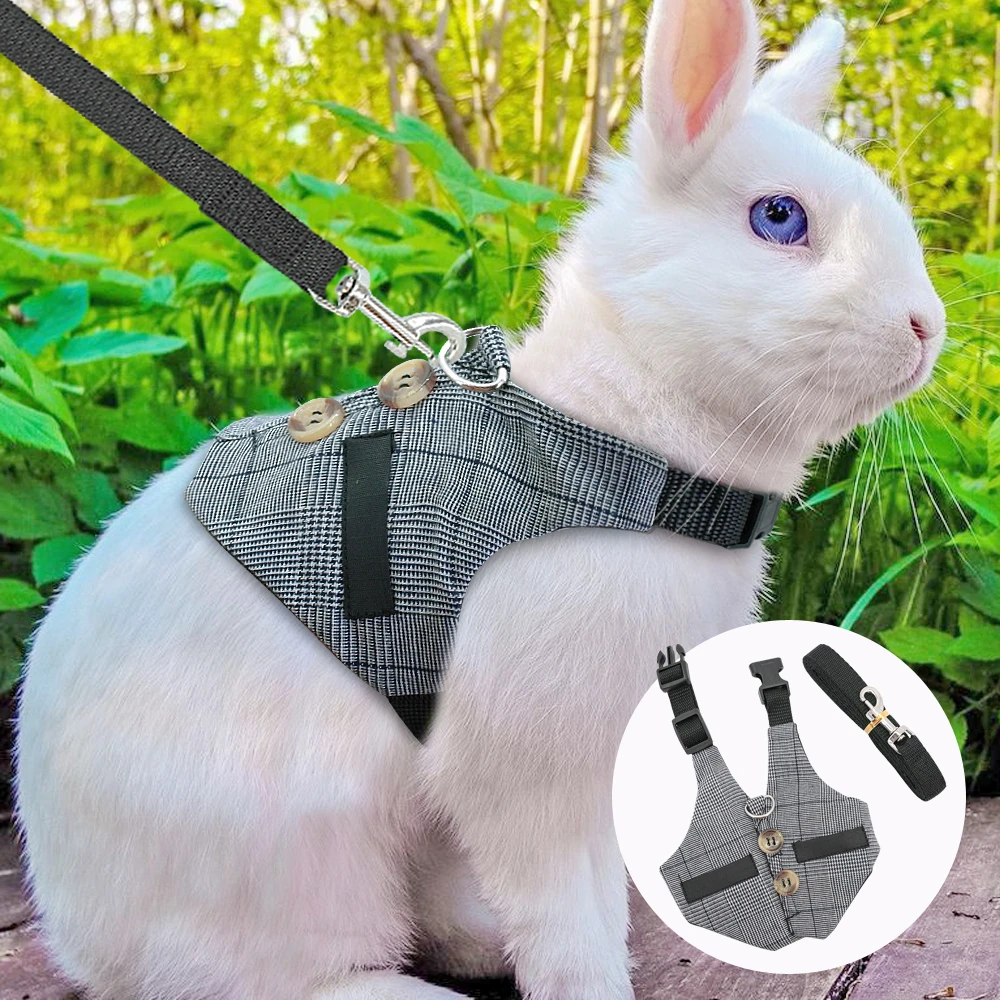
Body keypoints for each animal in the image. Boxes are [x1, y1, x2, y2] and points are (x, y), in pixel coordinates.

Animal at [15, 0, 946, 998]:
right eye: (779, 216)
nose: (927, 328)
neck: (622, 445)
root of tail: (79, 933)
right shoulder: (531, 775)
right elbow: (568, 912)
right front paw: (594, 985)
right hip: (298, 859)